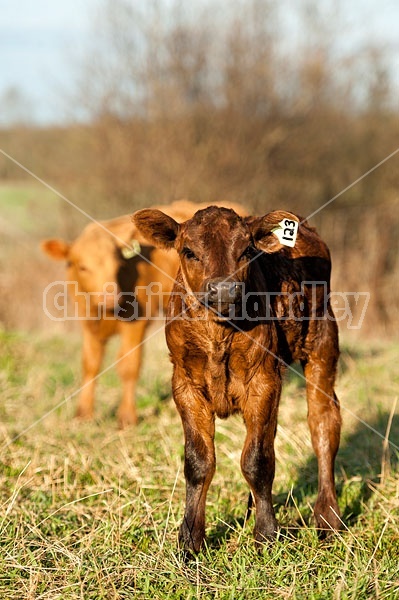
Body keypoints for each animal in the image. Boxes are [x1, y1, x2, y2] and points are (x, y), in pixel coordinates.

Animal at [41, 200, 247, 426]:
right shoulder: (87, 320)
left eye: (118, 266)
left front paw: (126, 418)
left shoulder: (136, 321)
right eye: (83, 267)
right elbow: (90, 363)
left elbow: (129, 366)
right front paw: (83, 414)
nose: (110, 297)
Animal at [134, 206, 340, 552]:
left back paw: (328, 519)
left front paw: (267, 534)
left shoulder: (263, 380)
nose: (224, 289)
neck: (218, 334)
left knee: (323, 423)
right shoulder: (185, 384)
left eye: (246, 251)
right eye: (189, 251)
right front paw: (189, 540)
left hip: (322, 343)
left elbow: (257, 460)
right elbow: (198, 462)